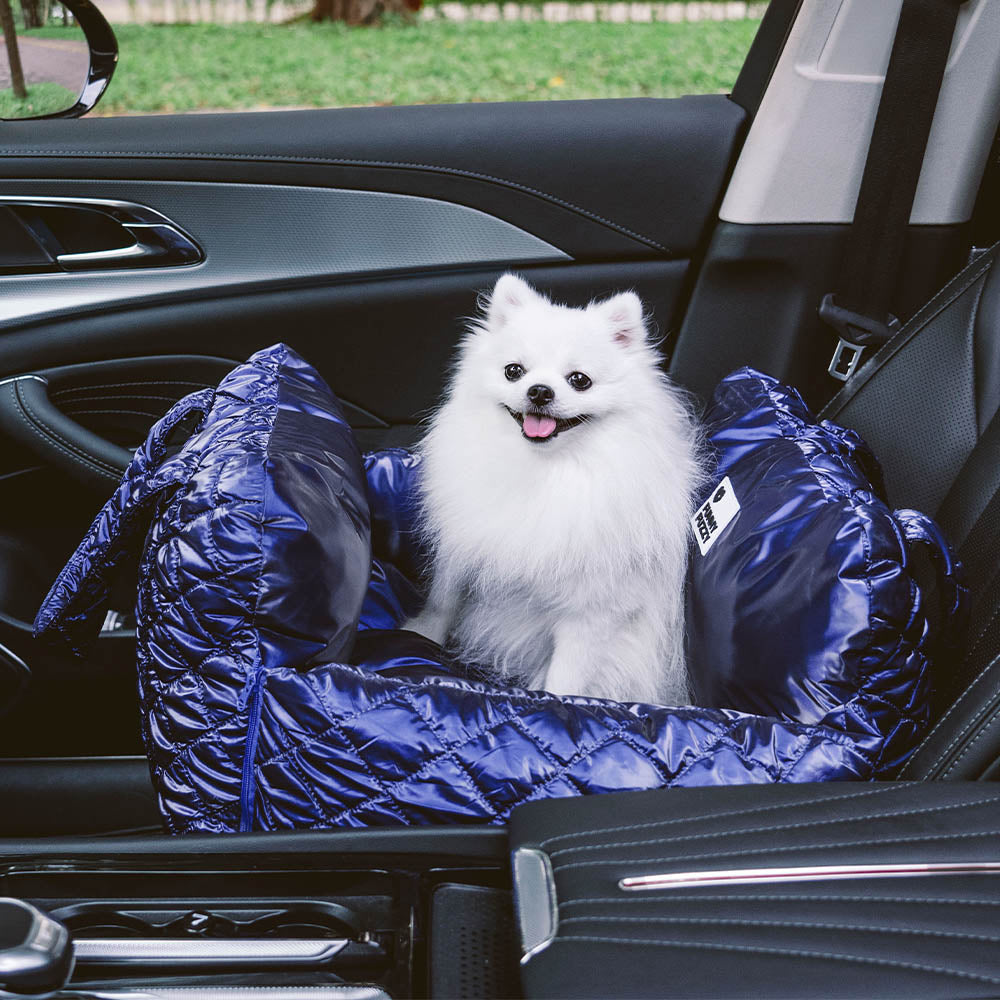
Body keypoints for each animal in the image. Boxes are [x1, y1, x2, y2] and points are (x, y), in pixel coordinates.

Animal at [402, 274, 700, 704]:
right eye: (513, 371)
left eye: (579, 380)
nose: (540, 391)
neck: (545, 470)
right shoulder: (465, 547)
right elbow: (444, 598)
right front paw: (420, 633)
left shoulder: (594, 612)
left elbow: (567, 675)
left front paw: (556, 705)